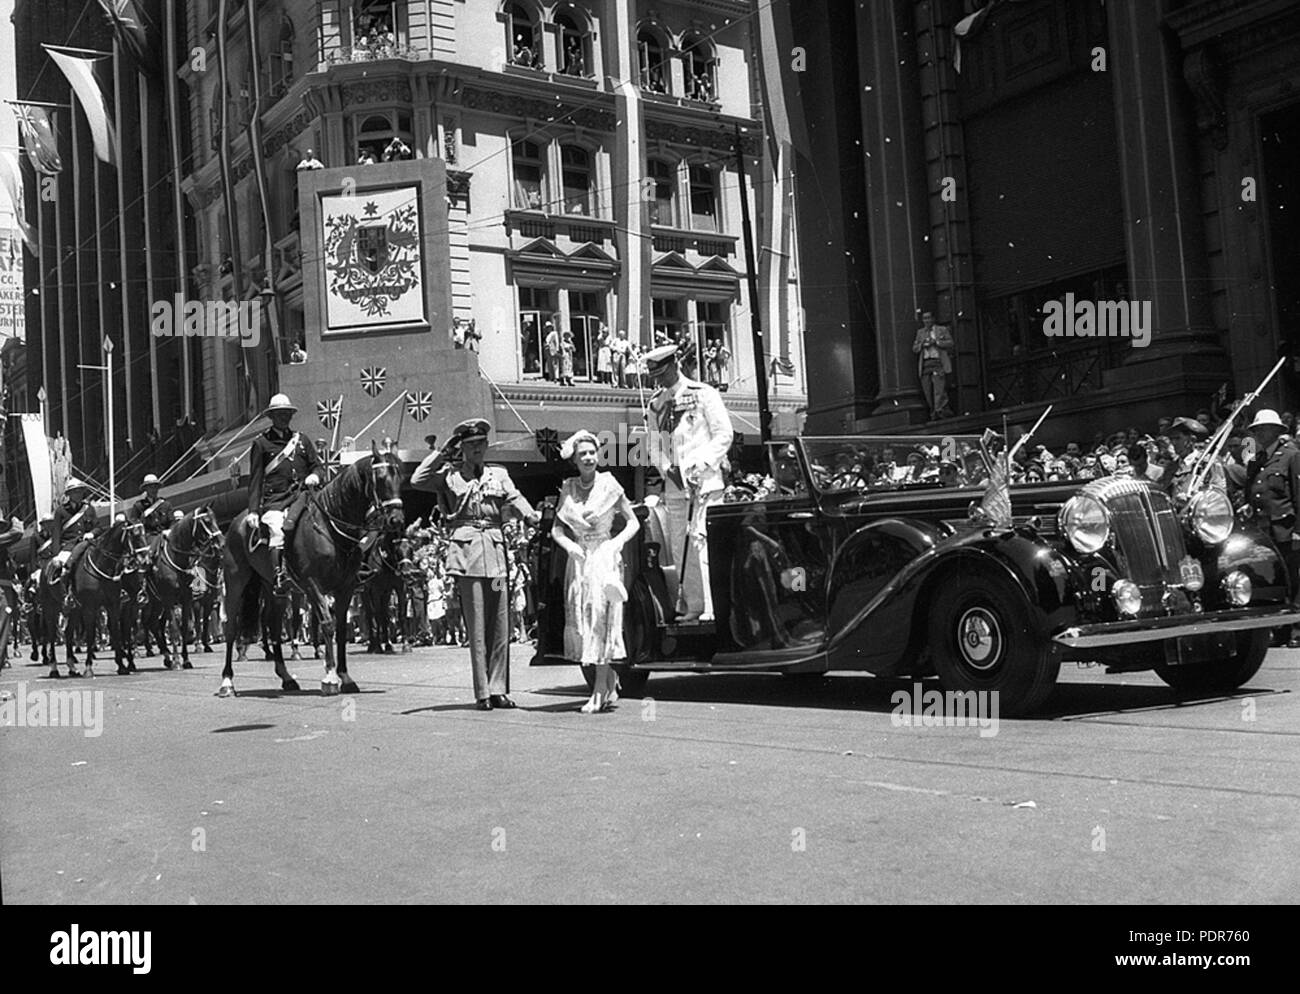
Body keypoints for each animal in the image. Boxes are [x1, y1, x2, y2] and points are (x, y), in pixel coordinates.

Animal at [218, 446, 403, 696]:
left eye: (400, 477)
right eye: (381, 479)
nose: (397, 520)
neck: (329, 528)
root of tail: (238, 521)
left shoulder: (345, 588)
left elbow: (340, 629)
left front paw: (345, 677)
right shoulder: (313, 584)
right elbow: (327, 624)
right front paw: (331, 677)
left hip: (275, 590)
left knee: (273, 628)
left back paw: (286, 677)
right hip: (236, 582)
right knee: (231, 627)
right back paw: (227, 682)